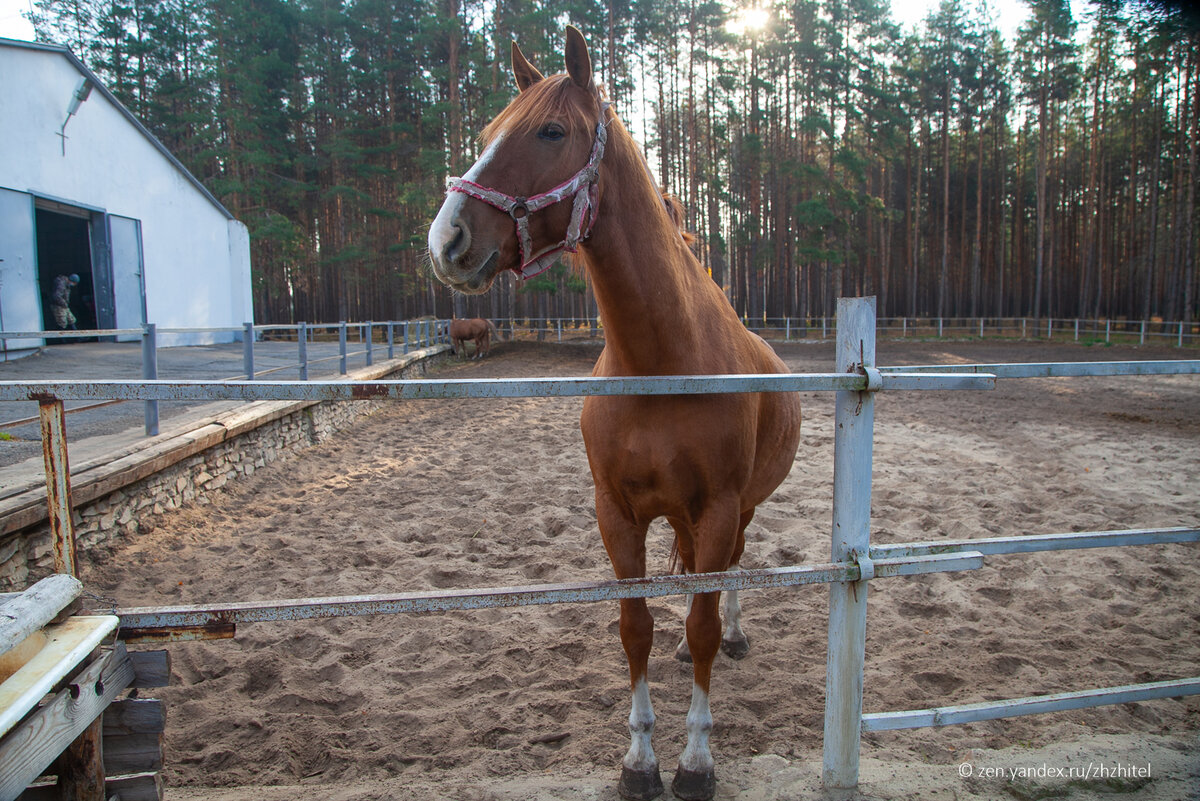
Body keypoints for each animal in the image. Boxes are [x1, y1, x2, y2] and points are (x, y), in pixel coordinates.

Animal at [427, 26, 801, 801]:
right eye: (487, 130)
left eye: (551, 131)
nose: (446, 242)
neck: (661, 363)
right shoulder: (617, 513)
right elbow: (637, 628)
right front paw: (639, 760)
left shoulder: (719, 507)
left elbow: (702, 622)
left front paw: (695, 761)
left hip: (741, 508)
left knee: (731, 576)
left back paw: (739, 635)